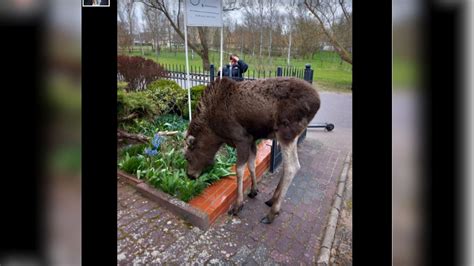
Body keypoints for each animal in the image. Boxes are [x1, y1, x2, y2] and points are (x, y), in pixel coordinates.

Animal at [183, 77, 320, 224]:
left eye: (187, 157)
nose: (190, 175)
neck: (215, 133)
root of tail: (317, 103)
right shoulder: (252, 139)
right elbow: (252, 164)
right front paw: (254, 190)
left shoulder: (242, 138)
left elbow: (239, 171)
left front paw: (238, 205)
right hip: (291, 135)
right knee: (286, 165)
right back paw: (272, 199)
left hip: (286, 132)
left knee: (292, 167)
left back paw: (272, 213)